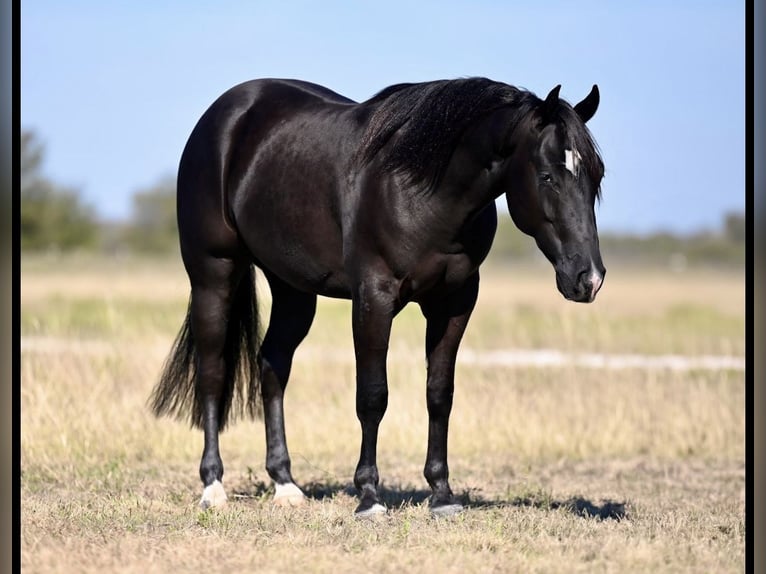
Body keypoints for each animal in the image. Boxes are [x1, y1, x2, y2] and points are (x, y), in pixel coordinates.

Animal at [148, 76, 608, 516]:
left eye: (597, 176)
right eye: (547, 176)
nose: (589, 278)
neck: (421, 190)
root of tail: (227, 112)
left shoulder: (455, 301)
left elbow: (439, 393)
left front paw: (442, 493)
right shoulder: (374, 297)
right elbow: (372, 395)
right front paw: (369, 496)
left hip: (293, 288)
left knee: (272, 364)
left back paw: (286, 485)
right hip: (213, 273)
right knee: (213, 372)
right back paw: (213, 487)